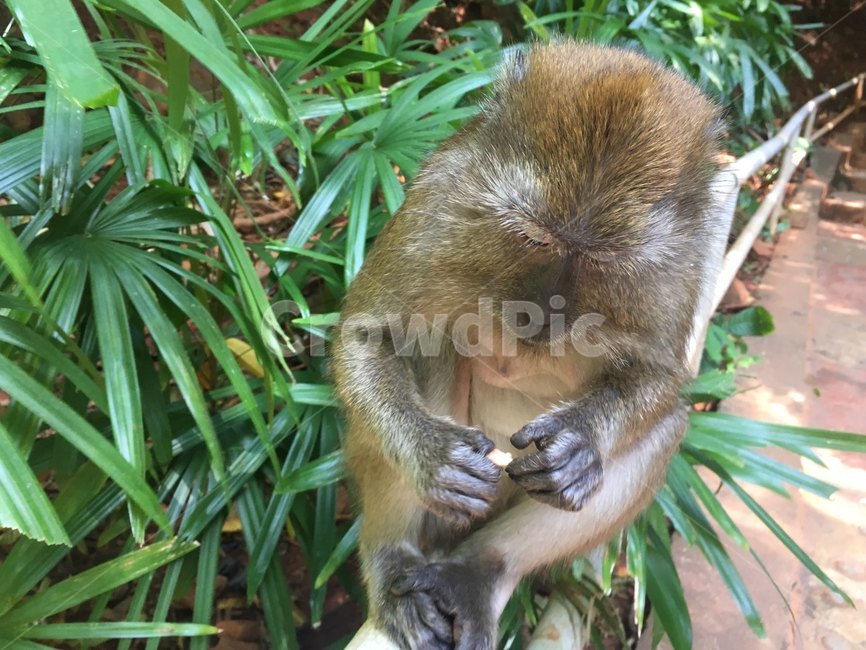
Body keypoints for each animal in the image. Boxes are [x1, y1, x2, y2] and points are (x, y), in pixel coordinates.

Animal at [330, 40, 722, 649]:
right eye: (533, 236)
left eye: (601, 260)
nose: (542, 312)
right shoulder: (444, 199)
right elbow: (370, 333)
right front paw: (430, 453)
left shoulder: (682, 260)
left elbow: (657, 378)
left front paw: (581, 440)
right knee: (427, 345)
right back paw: (395, 562)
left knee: (665, 431)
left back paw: (479, 571)